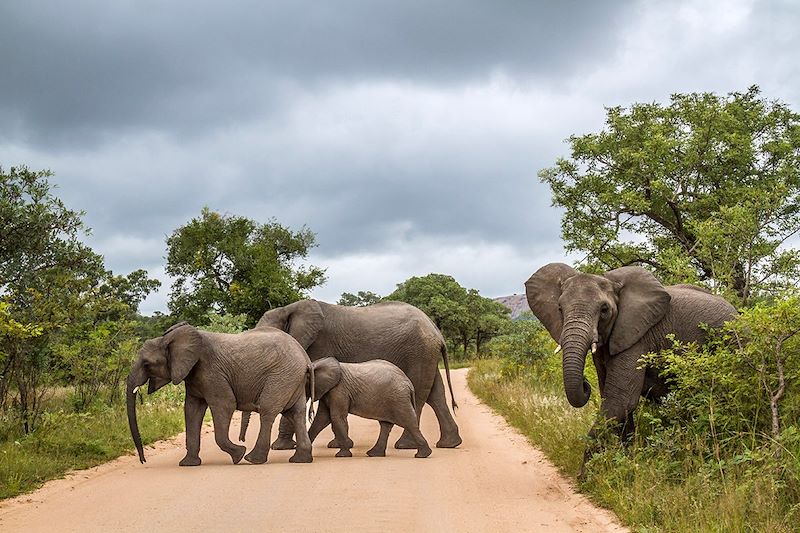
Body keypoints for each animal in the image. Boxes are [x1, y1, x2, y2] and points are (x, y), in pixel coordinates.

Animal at [126, 320, 314, 466]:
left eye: (147, 364)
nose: (143, 461)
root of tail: (305, 357)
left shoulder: (211, 372)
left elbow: (225, 404)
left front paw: (238, 454)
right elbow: (192, 410)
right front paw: (188, 464)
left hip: (281, 376)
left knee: (268, 411)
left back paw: (252, 459)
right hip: (292, 379)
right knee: (296, 412)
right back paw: (300, 460)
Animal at [253, 300, 460, 448]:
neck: (289, 308)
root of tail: (436, 330)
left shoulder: (318, 345)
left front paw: (280, 447)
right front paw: (336, 445)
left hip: (418, 352)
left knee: (419, 393)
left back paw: (405, 445)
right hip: (426, 354)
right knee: (436, 395)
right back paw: (449, 444)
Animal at [524, 264, 736, 462]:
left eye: (604, 310)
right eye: (560, 309)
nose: (585, 383)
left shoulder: (637, 337)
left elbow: (620, 401)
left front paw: (588, 474)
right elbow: (614, 401)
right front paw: (625, 460)